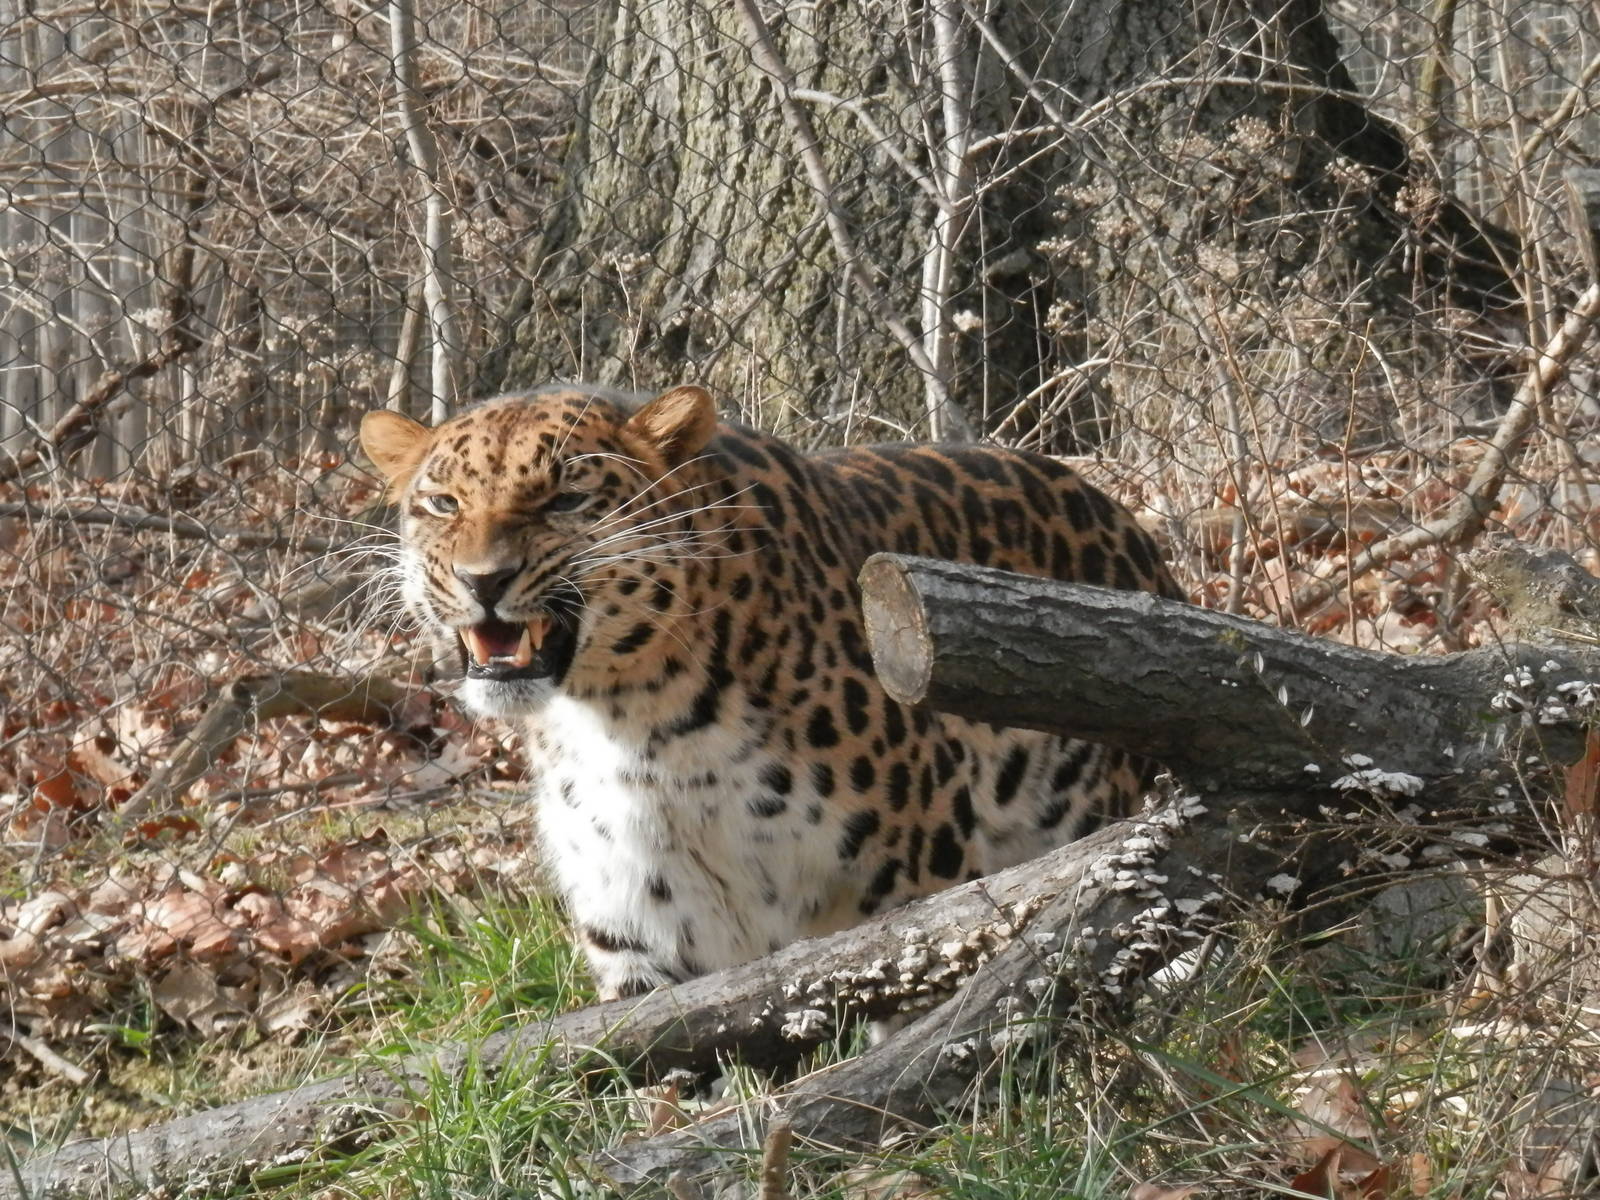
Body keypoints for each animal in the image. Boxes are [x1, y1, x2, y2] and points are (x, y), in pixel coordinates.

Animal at [360, 382, 1184, 1002]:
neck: (632, 723)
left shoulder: (915, 878)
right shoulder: (635, 924)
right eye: (443, 504)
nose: (482, 580)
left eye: (565, 500)